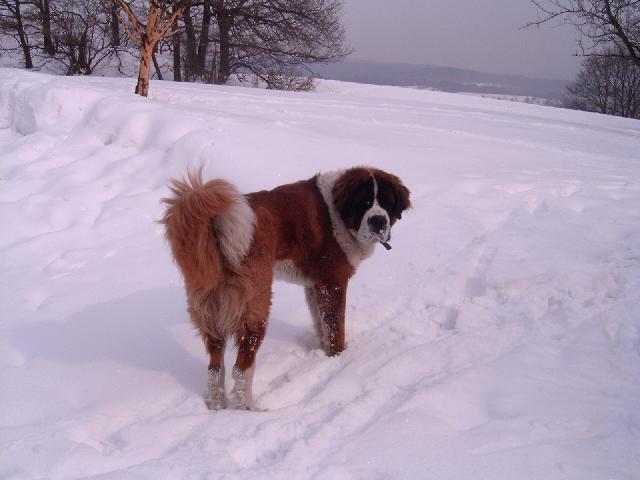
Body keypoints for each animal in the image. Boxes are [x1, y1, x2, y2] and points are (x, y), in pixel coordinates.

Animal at [160, 166, 410, 408]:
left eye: (387, 203)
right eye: (364, 202)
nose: (378, 221)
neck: (339, 214)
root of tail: (216, 225)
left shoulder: (315, 286)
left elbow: (322, 324)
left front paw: (324, 352)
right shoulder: (333, 284)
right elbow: (335, 328)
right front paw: (339, 358)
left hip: (210, 310)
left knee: (215, 368)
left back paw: (216, 406)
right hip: (256, 307)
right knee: (241, 368)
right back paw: (249, 409)